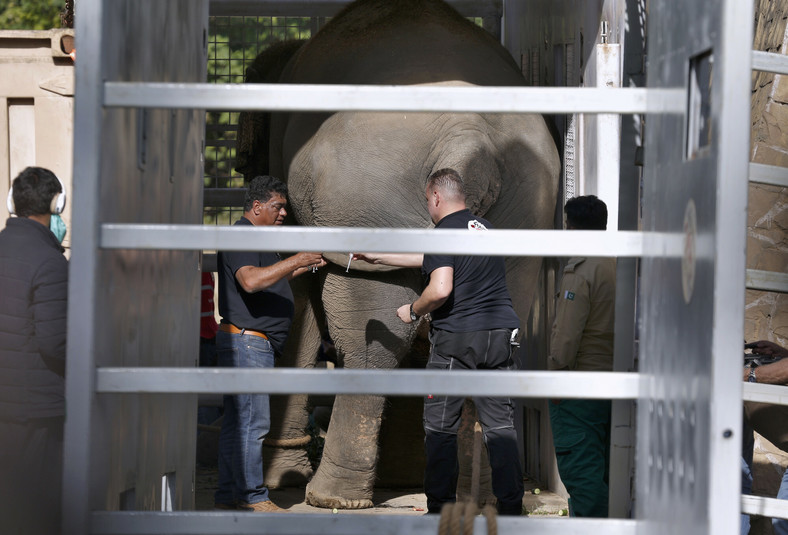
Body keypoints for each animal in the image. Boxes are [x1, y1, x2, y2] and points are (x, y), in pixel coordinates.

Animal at [234, 0, 560, 510]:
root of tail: (469, 138)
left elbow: (297, 299)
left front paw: (283, 476)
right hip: (525, 210)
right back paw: (473, 498)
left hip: (366, 199)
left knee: (370, 337)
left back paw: (331, 498)